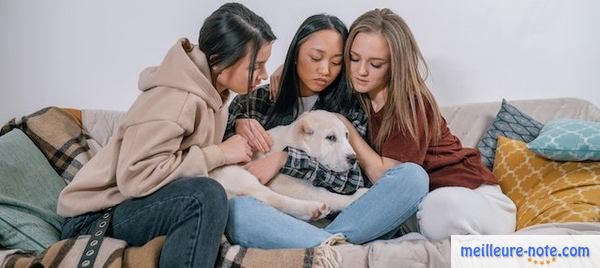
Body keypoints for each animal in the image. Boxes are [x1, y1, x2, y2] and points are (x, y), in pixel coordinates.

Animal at [211, 110, 370, 221]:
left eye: (347, 135)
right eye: (331, 138)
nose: (353, 158)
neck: (293, 141)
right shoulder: (284, 183)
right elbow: (325, 194)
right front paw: (357, 196)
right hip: (237, 174)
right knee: (269, 197)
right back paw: (314, 209)